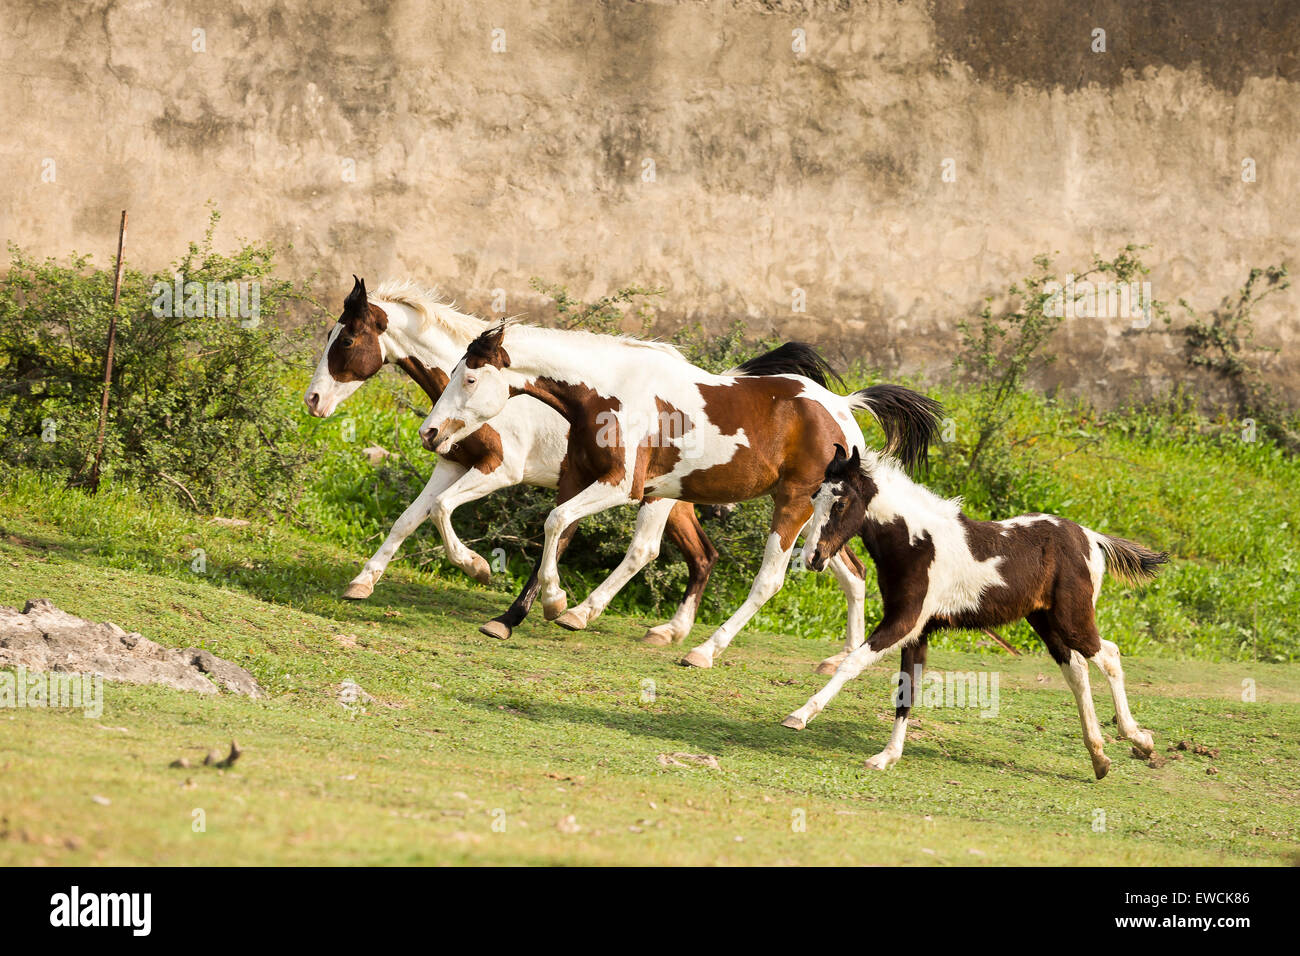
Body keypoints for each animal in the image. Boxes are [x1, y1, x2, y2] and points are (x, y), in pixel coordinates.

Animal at [304, 277, 718, 645]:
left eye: (346, 339)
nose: (313, 400)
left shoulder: (499, 470)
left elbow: (441, 509)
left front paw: (478, 567)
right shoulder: (451, 465)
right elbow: (408, 519)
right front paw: (362, 583)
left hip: (654, 496)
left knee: (643, 550)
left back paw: (578, 614)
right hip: (673, 497)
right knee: (703, 555)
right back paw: (669, 631)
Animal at [419, 322, 943, 671]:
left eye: (470, 378)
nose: (429, 433)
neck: (608, 392)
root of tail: (844, 408)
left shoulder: (620, 486)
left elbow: (555, 524)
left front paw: (553, 600)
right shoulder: (578, 477)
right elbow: (557, 531)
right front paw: (510, 614)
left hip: (792, 505)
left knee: (770, 580)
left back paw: (702, 650)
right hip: (820, 517)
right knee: (852, 574)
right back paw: (840, 658)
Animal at [784, 443, 1167, 779]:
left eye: (841, 501)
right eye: (815, 497)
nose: (813, 558)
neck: (917, 543)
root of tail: (1091, 536)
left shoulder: (903, 622)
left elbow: (854, 662)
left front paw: (799, 715)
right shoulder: (917, 631)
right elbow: (907, 690)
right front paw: (886, 756)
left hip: (1072, 619)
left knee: (1109, 655)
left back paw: (1139, 741)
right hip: (1045, 621)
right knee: (1077, 669)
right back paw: (1099, 758)